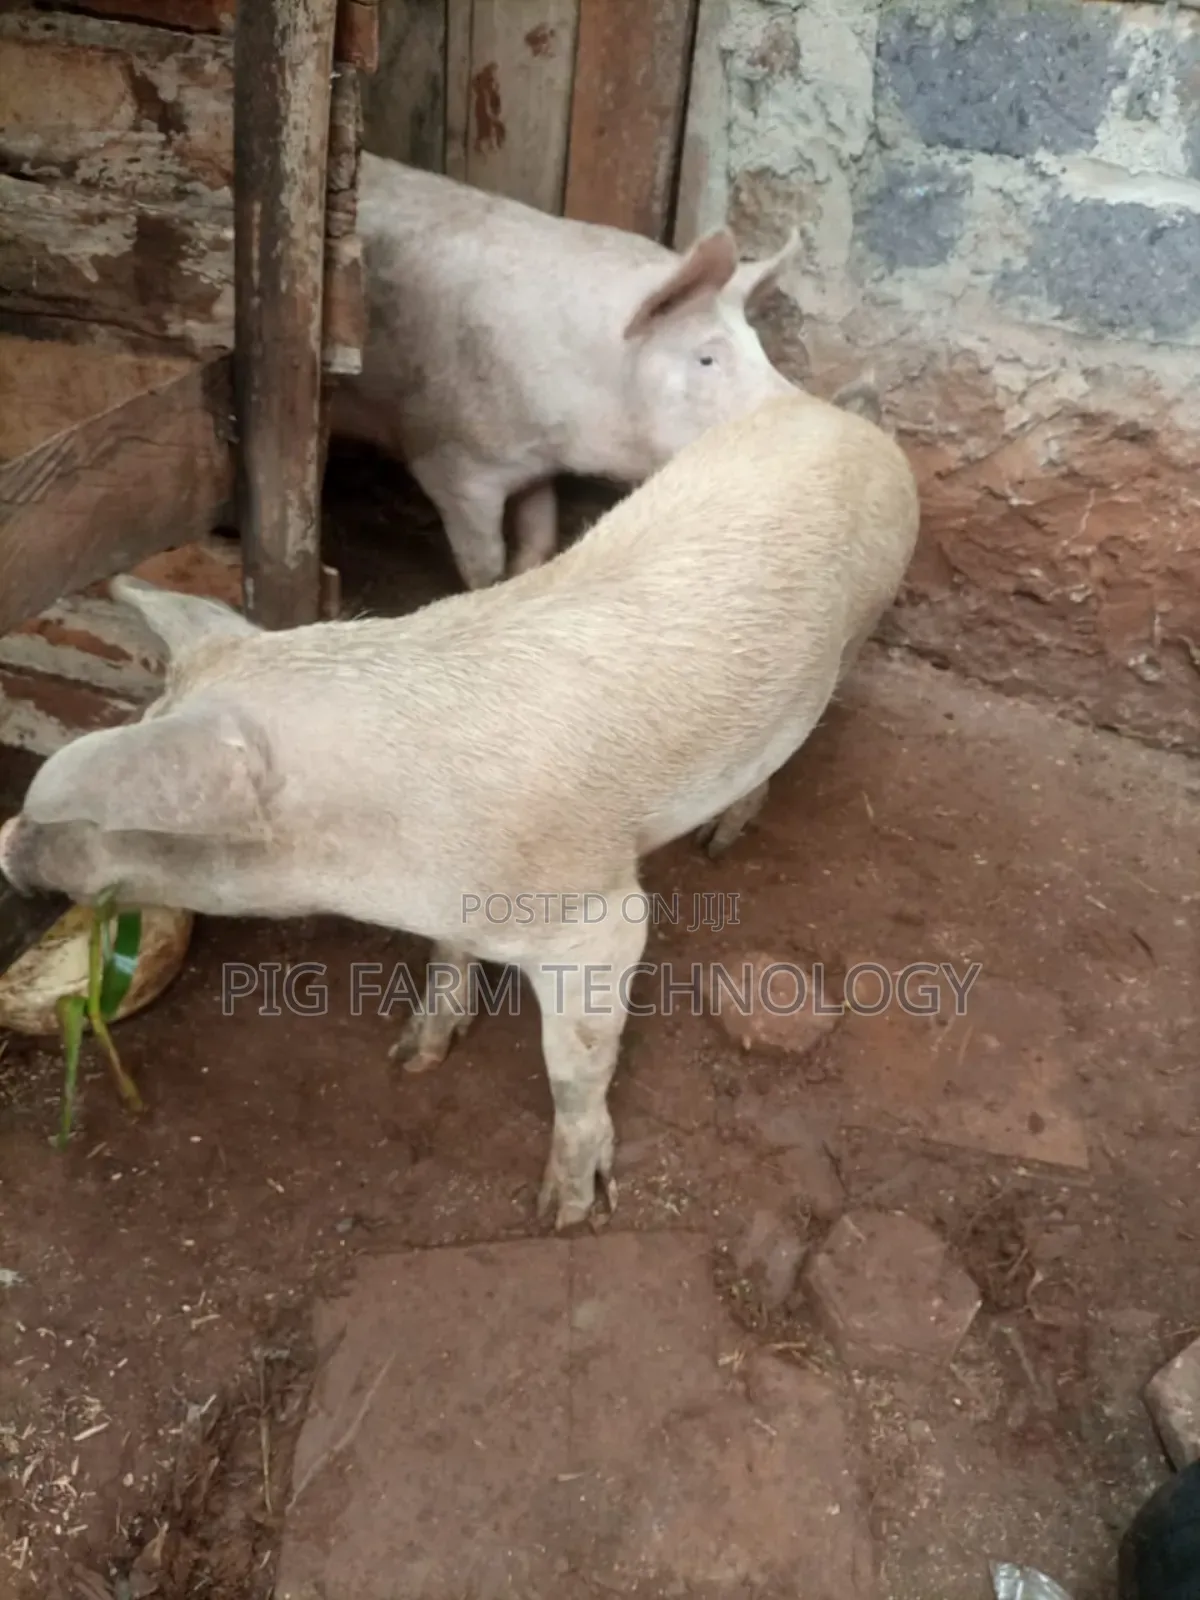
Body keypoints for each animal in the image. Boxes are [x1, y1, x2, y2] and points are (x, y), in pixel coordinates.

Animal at [0, 389, 919, 1231]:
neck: (376, 853)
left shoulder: (597, 915)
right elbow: (448, 956)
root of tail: (844, 413)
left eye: (124, 813)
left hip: (860, 626)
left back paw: (722, 840)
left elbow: (576, 1061)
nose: (6, 841)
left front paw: (565, 1211)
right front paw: (415, 1057)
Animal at [329, 151, 801, 590]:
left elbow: (540, 536)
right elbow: (484, 561)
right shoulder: (447, 459)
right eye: (707, 358)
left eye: (759, 344)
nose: (799, 412)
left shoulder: (536, 465)